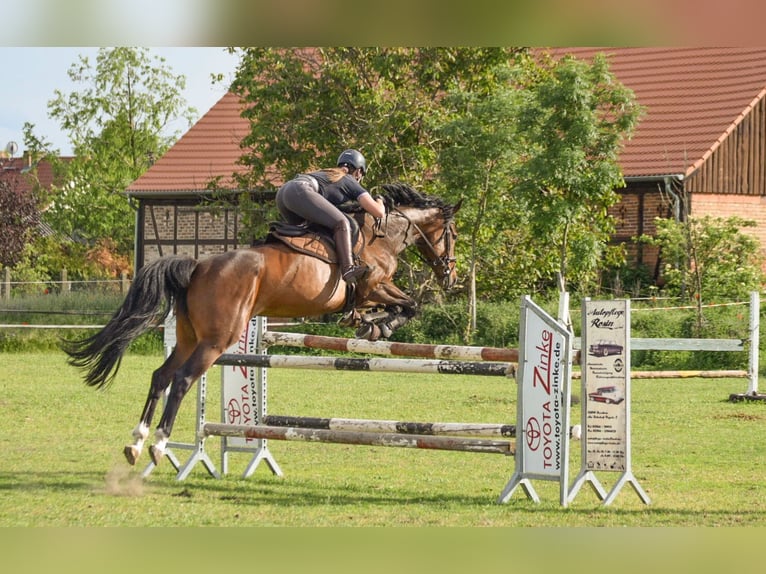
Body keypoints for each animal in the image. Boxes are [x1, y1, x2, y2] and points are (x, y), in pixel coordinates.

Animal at [63, 184, 462, 468]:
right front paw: (379, 326)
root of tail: (198, 266)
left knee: (161, 376)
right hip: (216, 341)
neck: (383, 233)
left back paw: (136, 441)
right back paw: (159, 444)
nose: (451, 277)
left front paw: (368, 323)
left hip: (189, 338)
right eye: (453, 235)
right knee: (183, 380)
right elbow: (409, 305)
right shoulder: (374, 284)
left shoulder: (373, 291)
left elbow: (397, 306)